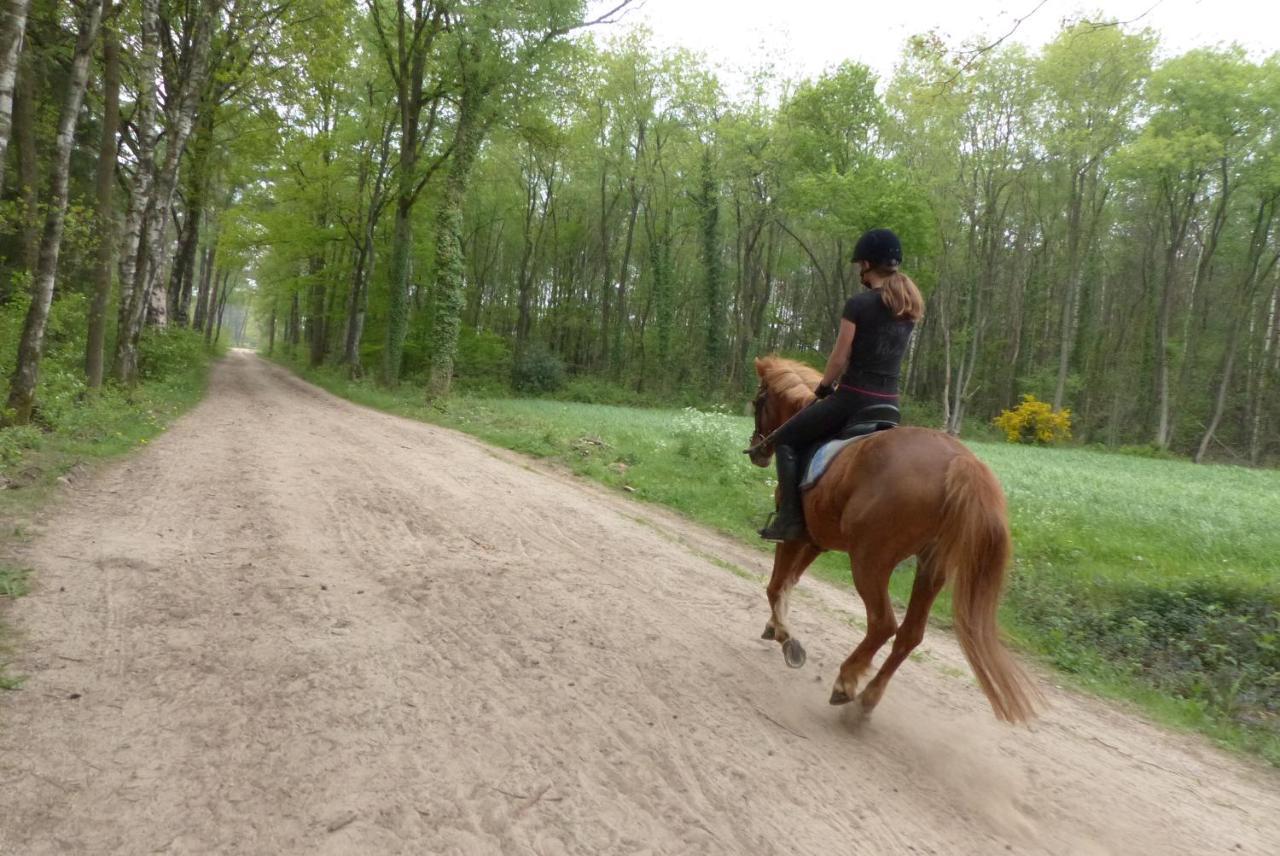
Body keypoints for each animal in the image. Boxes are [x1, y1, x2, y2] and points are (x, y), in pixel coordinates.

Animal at [747, 355, 1039, 721]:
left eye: (758, 402)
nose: (757, 451)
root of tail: (958, 461)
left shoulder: (795, 536)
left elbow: (776, 585)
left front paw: (787, 638)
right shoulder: (816, 539)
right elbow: (789, 582)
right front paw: (776, 627)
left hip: (870, 560)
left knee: (883, 623)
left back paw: (846, 683)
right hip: (932, 567)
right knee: (910, 634)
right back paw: (869, 696)